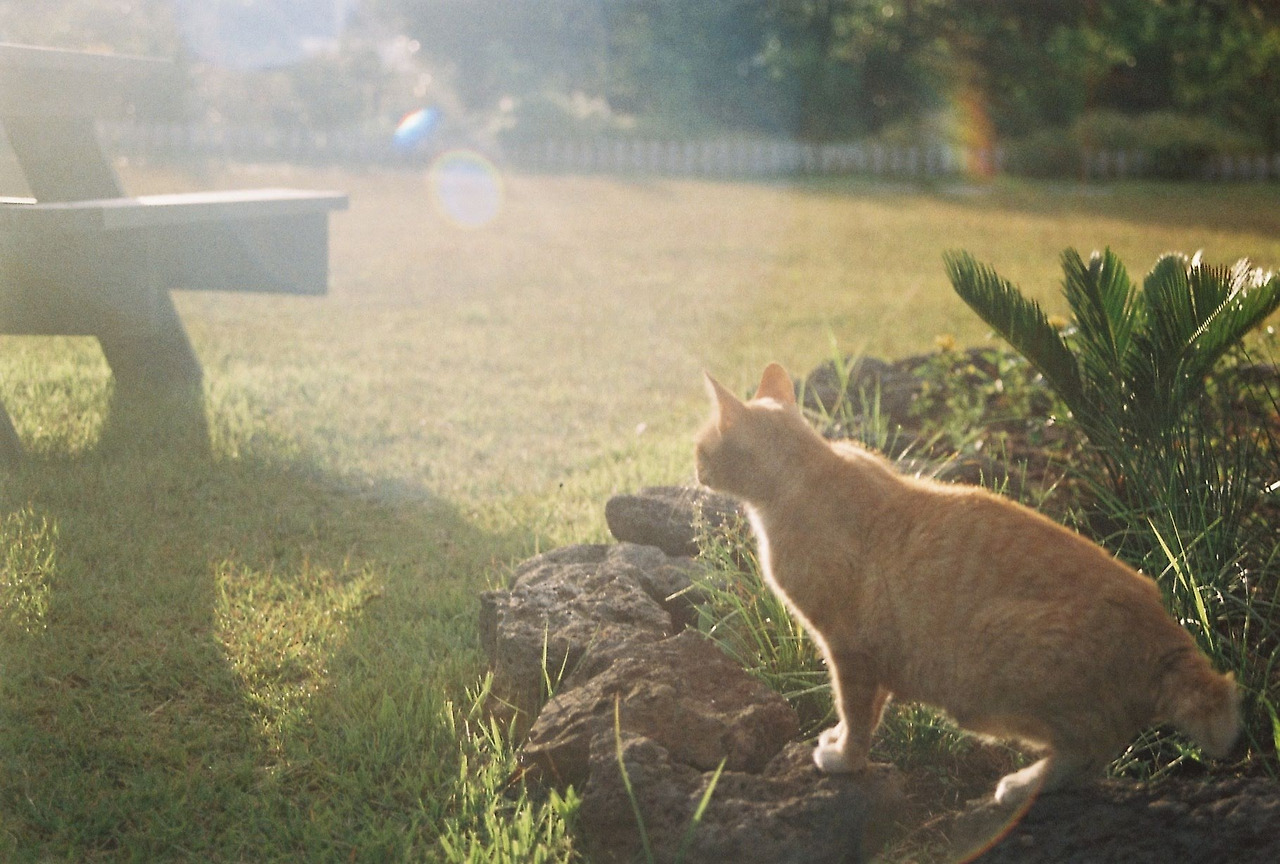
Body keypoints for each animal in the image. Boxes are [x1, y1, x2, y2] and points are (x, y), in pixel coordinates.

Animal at [701, 363, 1239, 803]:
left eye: (701, 447)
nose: (695, 467)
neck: (807, 473)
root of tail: (1168, 636)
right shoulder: (869, 658)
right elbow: (868, 712)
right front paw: (838, 740)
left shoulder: (847, 650)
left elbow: (855, 713)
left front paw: (845, 759)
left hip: (991, 672)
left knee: (1093, 746)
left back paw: (1022, 785)